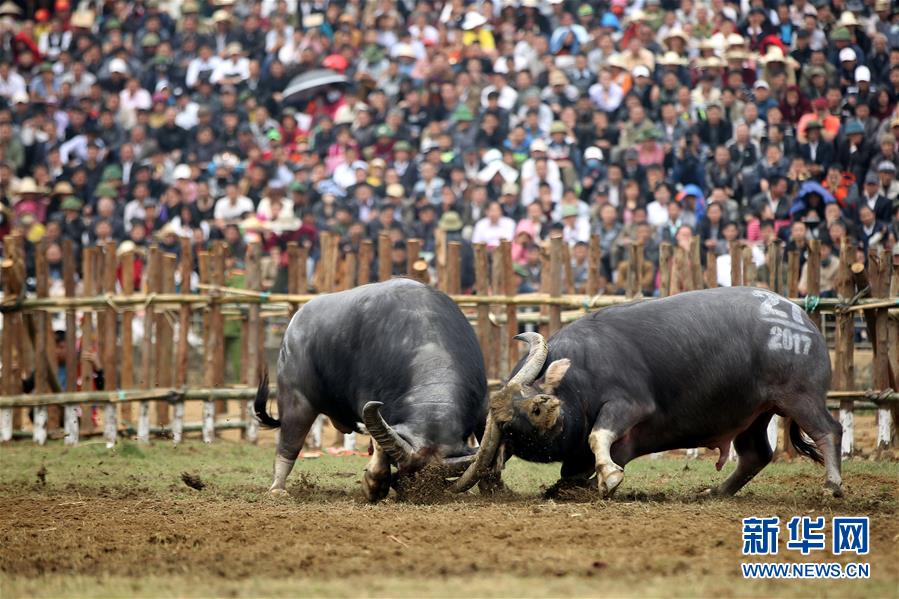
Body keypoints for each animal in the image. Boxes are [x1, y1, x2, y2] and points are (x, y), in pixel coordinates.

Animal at [256, 280, 488, 502]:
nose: (407, 490)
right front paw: (374, 485)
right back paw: (277, 489)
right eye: (404, 469)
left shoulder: (483, 410)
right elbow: (379, 447)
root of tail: (295, 321)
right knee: (289, 445)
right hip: (296, 399)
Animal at [458, 288, 844, 500]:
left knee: (829, 430)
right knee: (756, 455)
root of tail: (801, 319)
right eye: (508, 426)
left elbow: (598, 435)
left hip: (799, 394)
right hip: (754, 413)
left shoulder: (630, 405)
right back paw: (714, 492)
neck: (580, 378)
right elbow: (576, 469)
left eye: (530, 389)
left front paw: (609, 476)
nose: (542, 407)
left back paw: (832, 485)